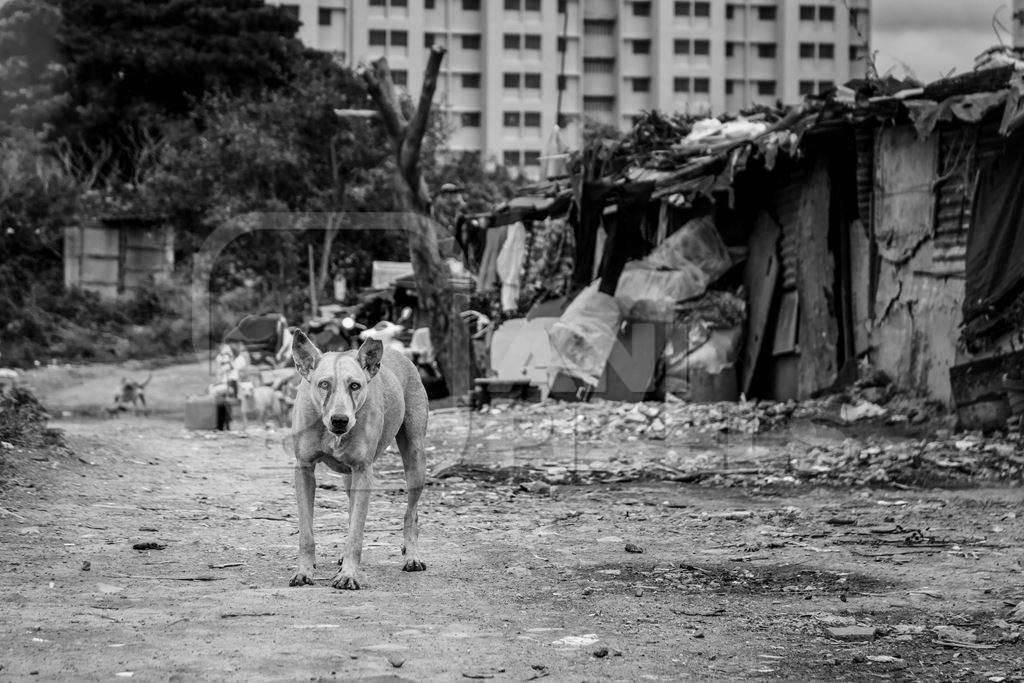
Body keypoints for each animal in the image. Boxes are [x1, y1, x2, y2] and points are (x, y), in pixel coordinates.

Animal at [286, 327, 425, 589]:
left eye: (355, 385)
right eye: (324, 384)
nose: (340, 420)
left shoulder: (363, 471)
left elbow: (356, 533)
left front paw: (349, 574)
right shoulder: (304, 470)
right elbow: (306, 533)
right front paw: (304, 572)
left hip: (415, 459)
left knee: (411, 513)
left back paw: (411, 556)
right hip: (349, 478)